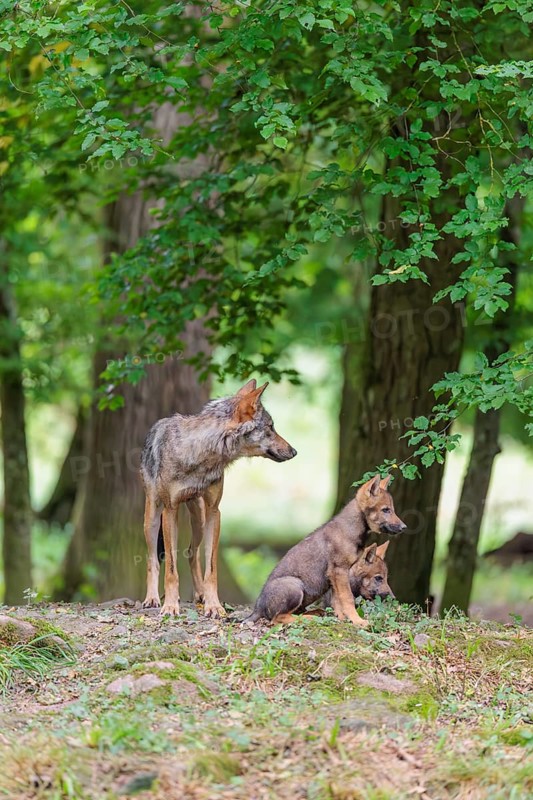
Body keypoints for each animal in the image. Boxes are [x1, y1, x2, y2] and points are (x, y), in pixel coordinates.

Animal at [140, 379, 297, 618]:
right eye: (270, 428)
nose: (294, 451)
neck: (201, 455)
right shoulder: (170, 510)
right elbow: (171, 569)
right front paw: (170, 606)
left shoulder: (215, 512)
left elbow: (211, 568)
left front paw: (213, 605)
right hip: (153, 519)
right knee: (153, 560)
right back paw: (152, 599)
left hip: (199, 520)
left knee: (191, 554)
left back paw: (200, 595)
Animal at [247, 475, 406, 626]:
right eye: (386, 510)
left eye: (391, 509)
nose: (404, 527)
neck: (349, 530)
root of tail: (257, 608)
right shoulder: (339, 570)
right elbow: (347, 599)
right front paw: (357, 621)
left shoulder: (334, 576)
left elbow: (337, 602)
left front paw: (341, 619)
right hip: (295, 586)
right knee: (277, 618)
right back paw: (310, 618)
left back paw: (316, 613)